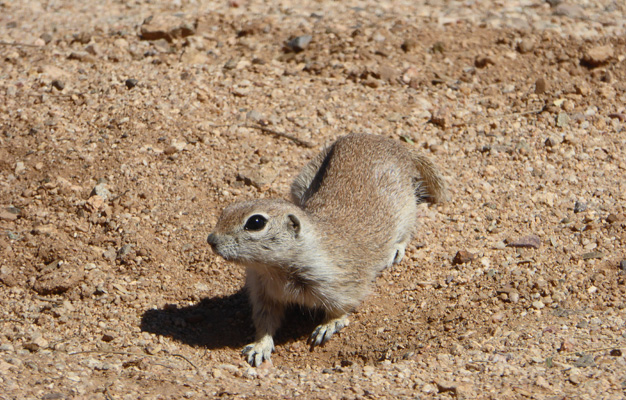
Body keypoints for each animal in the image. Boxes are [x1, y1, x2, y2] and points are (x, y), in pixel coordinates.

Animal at [207, 134, 446, 366]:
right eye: (226, 210)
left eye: (256, 222)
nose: (211, 240)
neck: (276, 269)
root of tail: (394, 145)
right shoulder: (262, 292)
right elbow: (265, 321)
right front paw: (260, 346)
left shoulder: (341, 283)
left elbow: (343, 307)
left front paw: (327, 326)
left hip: (407, 207)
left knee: (408, 229)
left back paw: (395, 250)